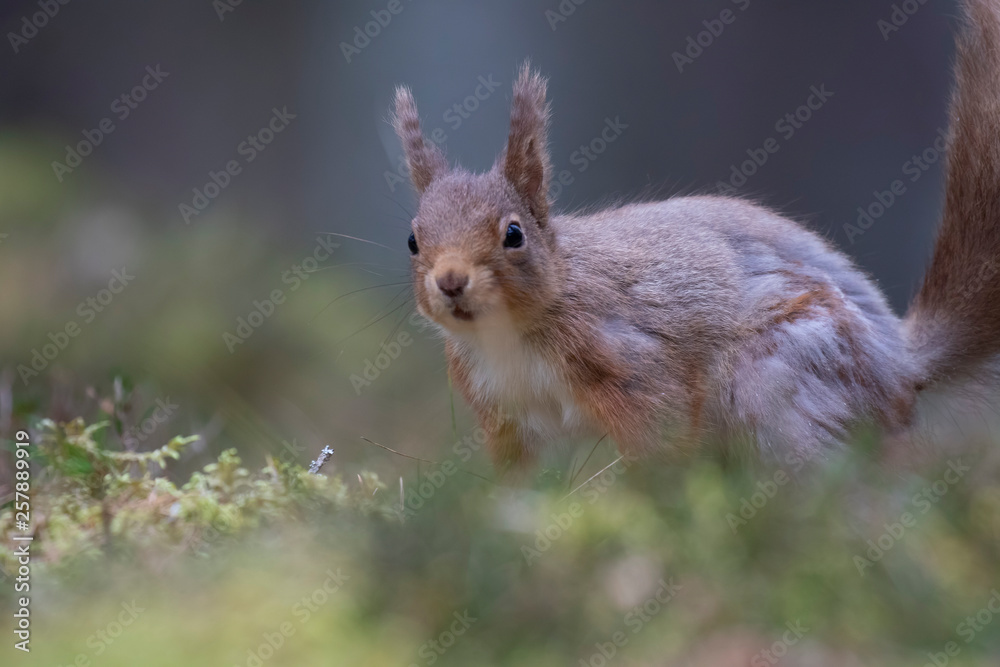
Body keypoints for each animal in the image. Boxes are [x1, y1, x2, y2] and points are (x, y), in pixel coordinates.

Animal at [390, 0, 1000, 473]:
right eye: (413, 241)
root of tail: (899, 367)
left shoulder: (627, 362)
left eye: (514, 234)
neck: (510, 335)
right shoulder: (504, 416)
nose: (450, 281)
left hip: (782, 379)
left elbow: (659, 436)